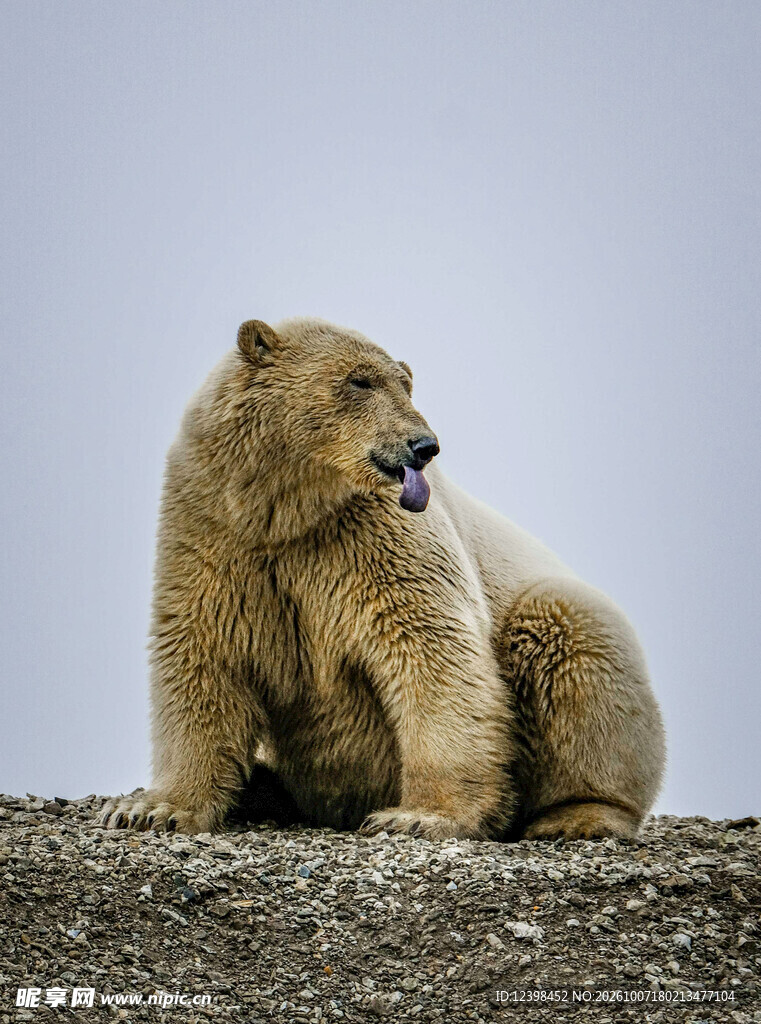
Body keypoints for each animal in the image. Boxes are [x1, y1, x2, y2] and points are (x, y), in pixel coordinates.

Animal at [101, 317, 666, 841]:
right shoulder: (212, 529)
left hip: (552, 616)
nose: (425, 445)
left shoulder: (381, 536)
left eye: (405, 383)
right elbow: (201, 651)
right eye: (359, 381)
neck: (288, 511)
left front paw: (418, 816)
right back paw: (260, 788)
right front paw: (149, 808)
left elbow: (432, 651)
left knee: (571, 639)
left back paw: (577, 816)